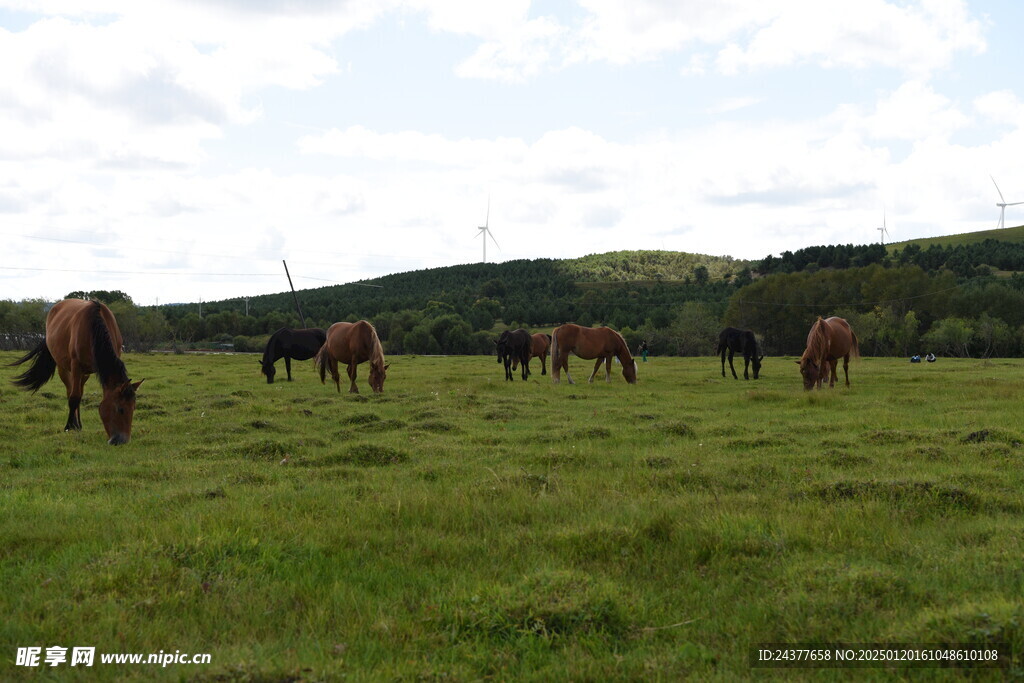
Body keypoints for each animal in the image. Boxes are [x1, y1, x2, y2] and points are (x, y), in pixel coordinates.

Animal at [9, 299, 142, 444]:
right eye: (120, 409)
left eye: (134, 408)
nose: (122, 440)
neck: (94, 327)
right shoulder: (76, 366)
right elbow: (74, 397)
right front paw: (68, 426)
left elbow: (79, 396)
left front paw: (76, 425)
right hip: (64, 368)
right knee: (70, 391)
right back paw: (74, 424)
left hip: (85, 373)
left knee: (79, 392)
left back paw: (78, 425)